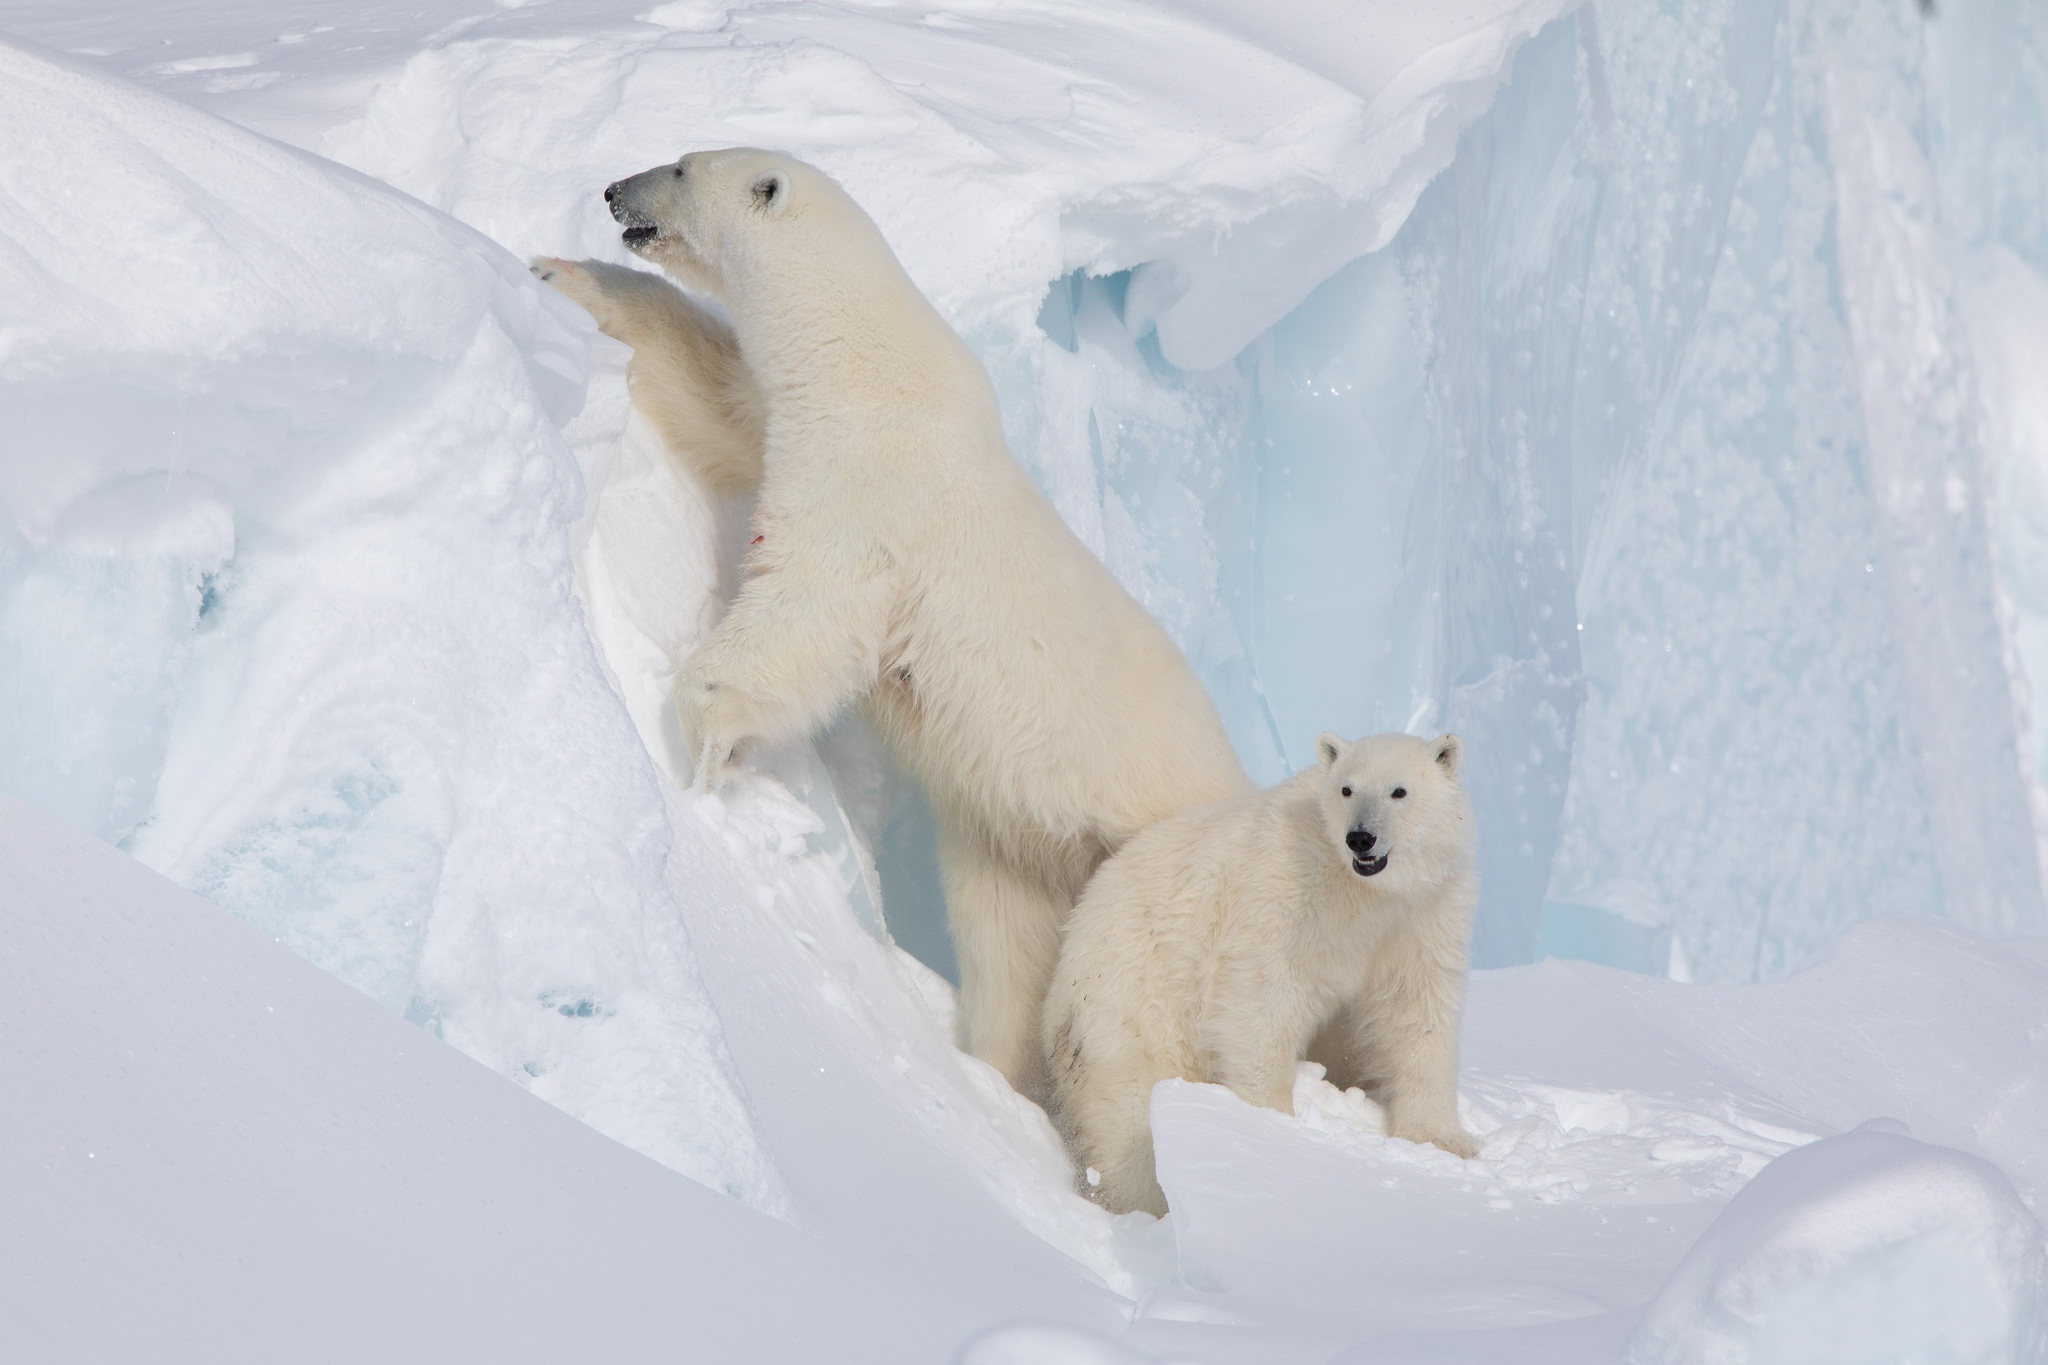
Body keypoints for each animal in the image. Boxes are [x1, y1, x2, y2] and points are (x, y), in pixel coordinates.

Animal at [536, 149, 1245, 1096]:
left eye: (681, 167)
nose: (615, 191)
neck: (865, 361)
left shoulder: (870, 484)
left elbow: (810, 606)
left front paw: (707, 744)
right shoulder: (790, 421)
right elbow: (714, 394)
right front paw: (560, 274)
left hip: (1163, 858)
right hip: (1025, 847)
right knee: (1009, 946)